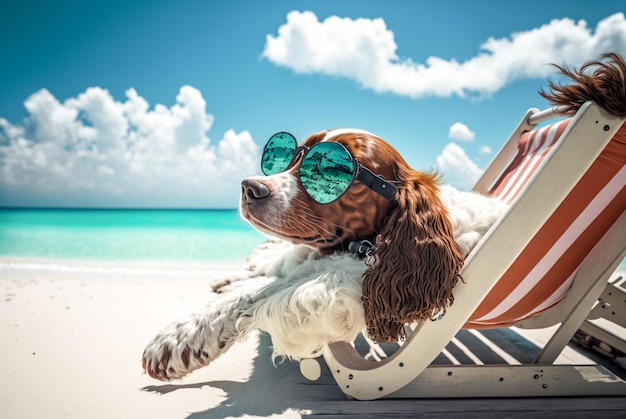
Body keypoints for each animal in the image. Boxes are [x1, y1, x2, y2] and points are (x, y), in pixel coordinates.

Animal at [141, 53, 624, 384]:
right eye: (290, 155)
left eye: (336, 171)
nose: (250, 187)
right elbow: (256, 287)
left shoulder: (340, 285)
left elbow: (258, 298)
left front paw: (175, 344)